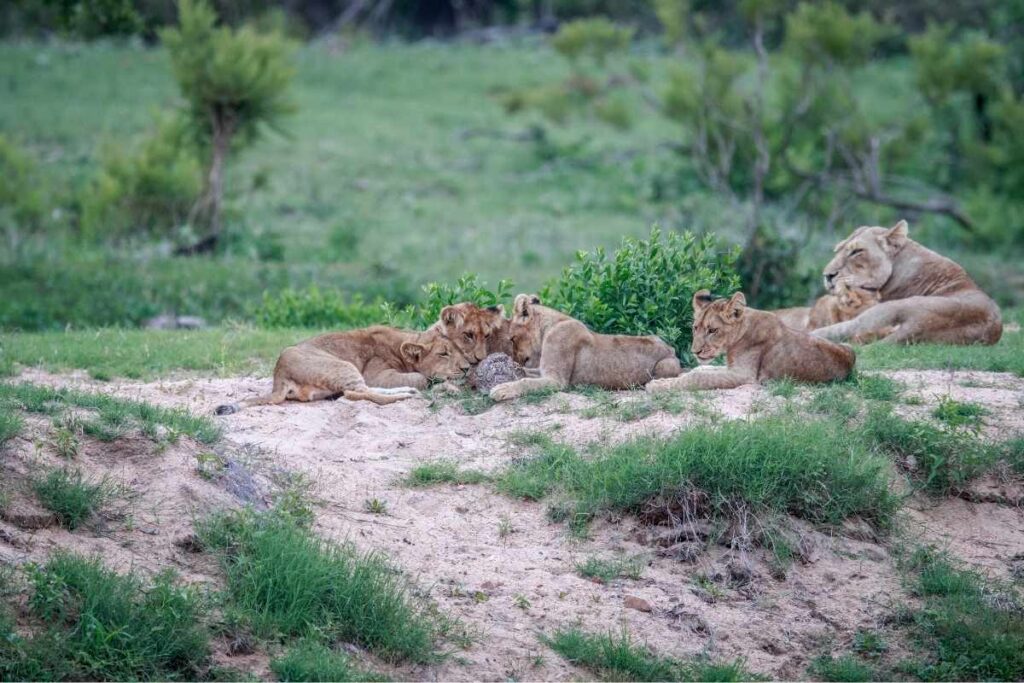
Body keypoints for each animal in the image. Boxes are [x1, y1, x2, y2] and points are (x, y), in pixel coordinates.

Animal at [214, 326, 470, 414]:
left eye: (458, 349)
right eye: (443, 353)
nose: (468, 368)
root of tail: (279, 375)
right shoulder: (377, 373)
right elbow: (419, 376)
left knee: (358, 392)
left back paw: (407, 392)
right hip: (343, 365)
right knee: (356, 393)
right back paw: (406, 395)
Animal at [488, 294, 683, 402]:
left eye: (512, 339)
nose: (515, 358)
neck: (549, 327)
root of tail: (670, 348)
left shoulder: (556, 380)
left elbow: (526, 381)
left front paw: (501, 390)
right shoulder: (543, 371)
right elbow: (525, 374)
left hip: (666, 366)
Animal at [646, 290, 855, 393]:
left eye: (712, 330)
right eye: (695, 328)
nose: (695, 352)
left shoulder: (744, 375)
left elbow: (700, 377)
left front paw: (657, 386)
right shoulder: (731, 368)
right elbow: (701, 370)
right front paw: (670, 378)